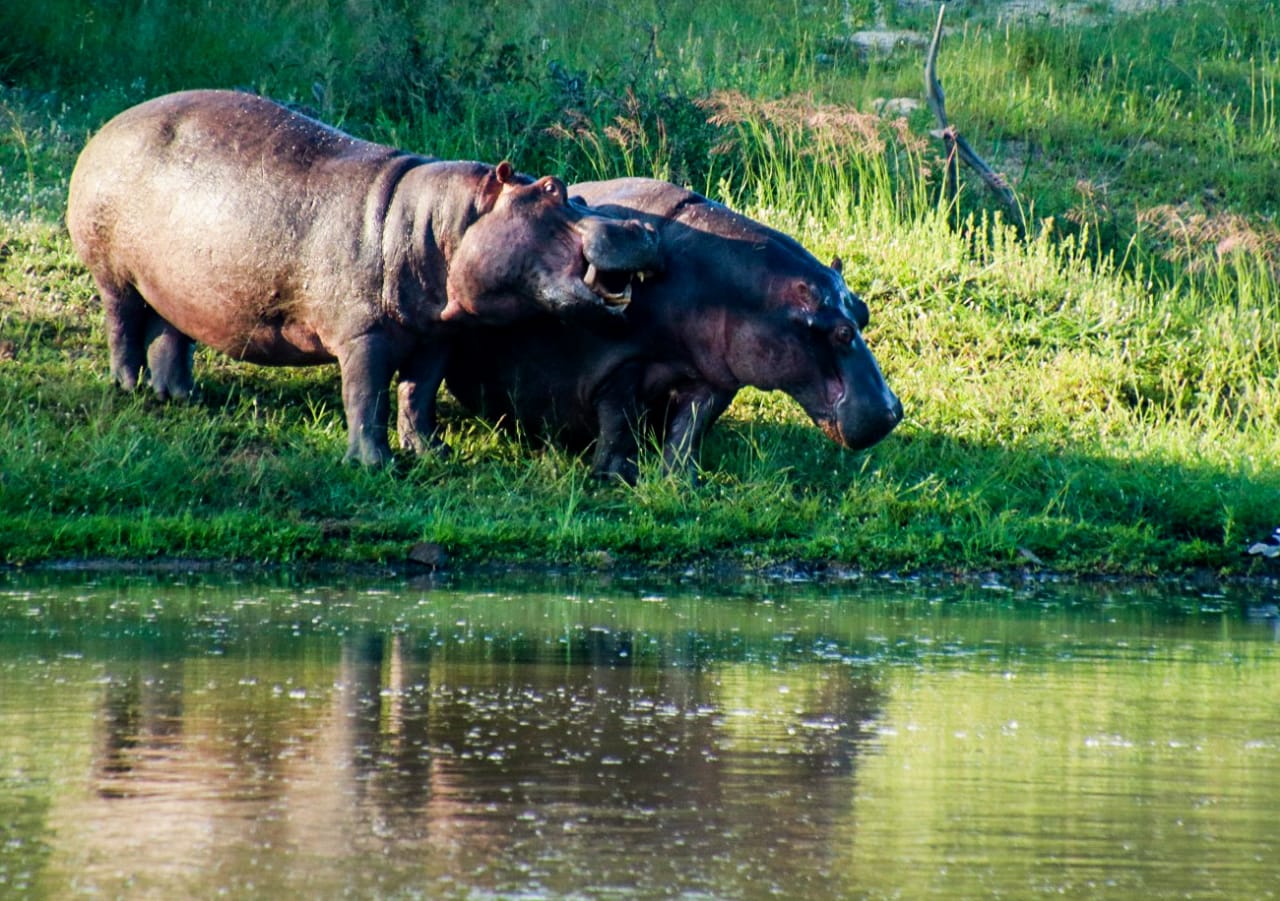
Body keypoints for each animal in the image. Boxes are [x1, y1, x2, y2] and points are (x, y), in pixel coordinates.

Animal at [65, 90, 660, 465]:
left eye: (577, 192)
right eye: (554, 189)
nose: (639, 225)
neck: (440, 223)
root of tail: (107, 126)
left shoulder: (437, 336)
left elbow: (418, 395)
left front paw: (430, 454)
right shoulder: (362, 336)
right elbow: (365, 395)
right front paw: (374, 464)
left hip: (174, 283)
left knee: (171, 332)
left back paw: (178, 397)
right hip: (112, 273)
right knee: (122, 323)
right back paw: (128, 387)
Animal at [444, 177, 902, 483]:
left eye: (863, 313)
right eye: (841, 333)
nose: (893, 410)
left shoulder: (714, 378)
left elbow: (690, 428)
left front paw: (681, 483)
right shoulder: (618, 365)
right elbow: (620, 421)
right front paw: (614, 478)